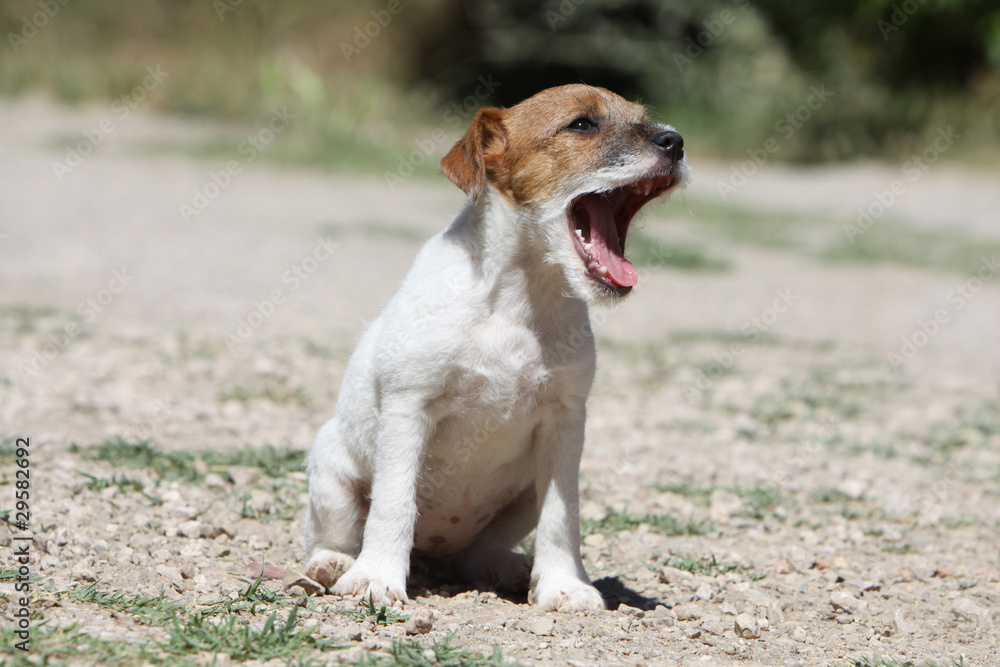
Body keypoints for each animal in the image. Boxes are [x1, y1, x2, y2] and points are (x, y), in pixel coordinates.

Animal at [304, 83, 688, 612]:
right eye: (582, 124)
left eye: (643, 117)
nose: (677, 142)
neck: (518, 296)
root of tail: (434, 551)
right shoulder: (408, 408)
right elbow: (394, 502)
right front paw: (377, 577)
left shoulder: (564, 424)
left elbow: (561, 517)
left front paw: (563, 585)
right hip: (331, 470)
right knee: (336, 533)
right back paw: (335, 562)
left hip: (520, 498)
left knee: (477, 554)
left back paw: (505, 567)